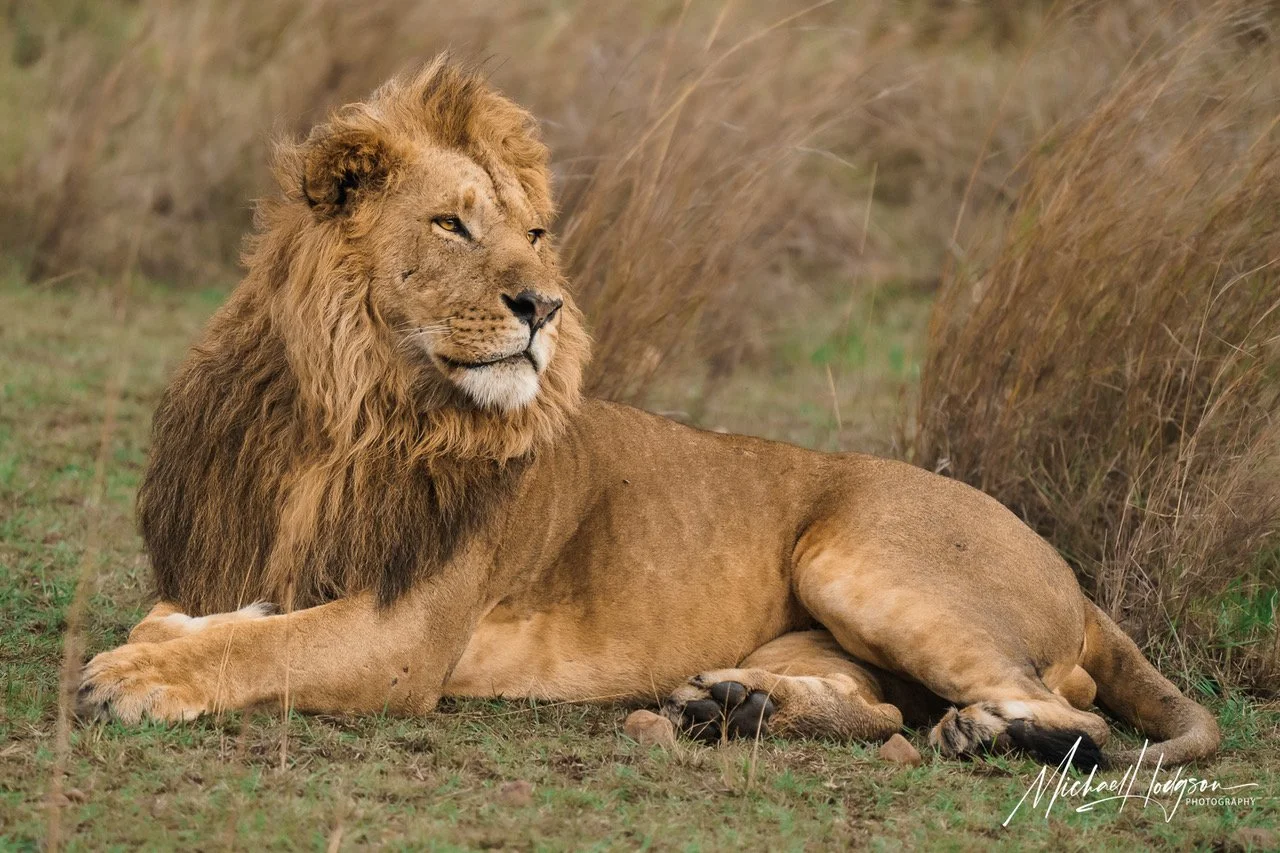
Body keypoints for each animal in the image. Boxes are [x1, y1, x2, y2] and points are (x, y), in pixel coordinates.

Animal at [78, 58, 1219, 770]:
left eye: (536, 234)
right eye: (451, 224)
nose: (542, 306)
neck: (358, 413)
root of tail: (1073, 575)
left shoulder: (407, 636)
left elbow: (266, 648)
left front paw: (135, 674)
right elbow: (228, 618)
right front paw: (162, 635)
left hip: (860, 558)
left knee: (1071, 712)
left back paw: (988, 737)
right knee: (889, 703)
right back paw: (737, 705)